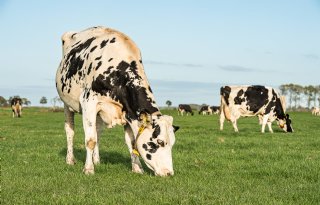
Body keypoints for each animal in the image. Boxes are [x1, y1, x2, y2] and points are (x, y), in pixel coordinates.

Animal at [56, 26, 179, 177]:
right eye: (160, 142)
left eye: (172, 143)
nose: (169, 173)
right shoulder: (88, 102)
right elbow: (90, 140)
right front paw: (88, 169)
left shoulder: (129, 112)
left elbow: (132, 143)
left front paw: (137, 168)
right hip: (66, 103)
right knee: (70, 131)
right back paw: (70, 159)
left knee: (98, 132)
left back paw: (97, 160)